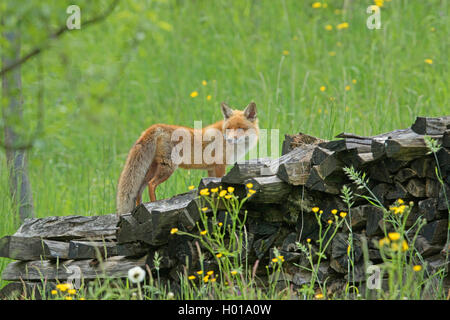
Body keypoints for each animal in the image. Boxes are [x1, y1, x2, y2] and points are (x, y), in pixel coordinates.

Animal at [116, 101, 258, 214]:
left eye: (241, 128)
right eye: (228, 128)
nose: (230, 139)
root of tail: (156, 126)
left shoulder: (211, 168)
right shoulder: (219, 166)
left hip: (152, 168)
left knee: (139, 190)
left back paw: (139, 208)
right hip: (168, 168)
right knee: (151, 184)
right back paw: (153, 204)